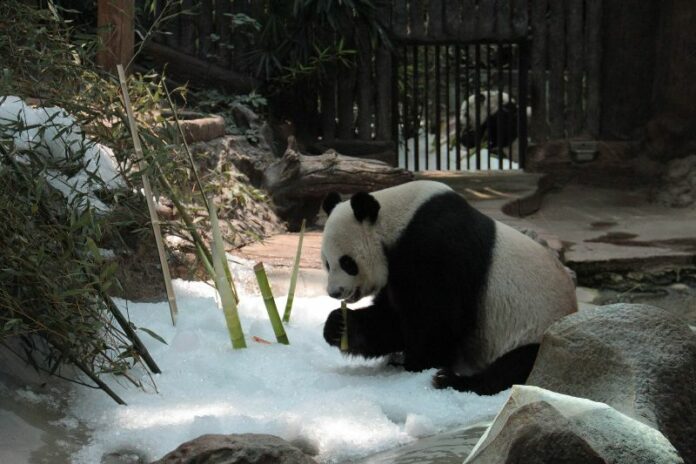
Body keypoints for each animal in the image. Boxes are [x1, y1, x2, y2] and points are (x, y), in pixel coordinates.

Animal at [320, 181, 576, 396]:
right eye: (327, 263)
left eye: (347, 263)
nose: (334, 292)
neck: (398, 222)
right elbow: (391, 319)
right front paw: (338, 325)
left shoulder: (436, 248)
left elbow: (435, 319)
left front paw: (416, 365)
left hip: (536, 328)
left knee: (521, 364)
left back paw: (452, 380)